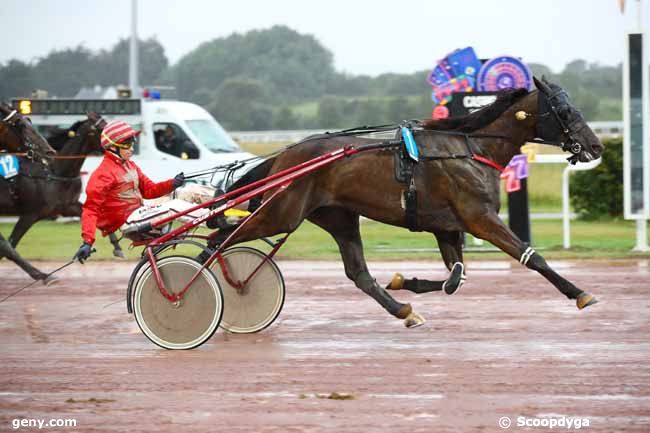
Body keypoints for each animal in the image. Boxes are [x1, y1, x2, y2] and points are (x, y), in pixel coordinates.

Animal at [218, 77, 604, 326]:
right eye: (564, 110)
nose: (597, 146)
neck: (471, 149)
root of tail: (285, 157)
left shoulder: (448, 227)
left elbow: (457, 277)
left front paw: (404, 281)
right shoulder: (479, 217)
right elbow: (530, 256)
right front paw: (580, 293)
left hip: (338, 217)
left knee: (359, 274)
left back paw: (403, 310)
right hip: (281, 214)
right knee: (218, 241)